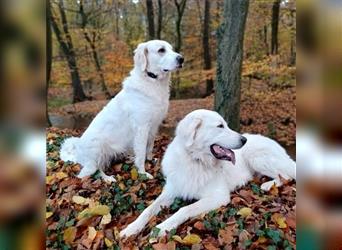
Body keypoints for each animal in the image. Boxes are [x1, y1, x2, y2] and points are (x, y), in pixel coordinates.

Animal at [60, 40, 184, 182]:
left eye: (171, 49)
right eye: (161, 50)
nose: (182, 59)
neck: (152, 81)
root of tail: (78, 153)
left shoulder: (154, 125)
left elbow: (149, 147)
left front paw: (150, 160)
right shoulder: (141, 127)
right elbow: (141, 153)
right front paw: (143, 173)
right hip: (97, 148)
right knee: (90, 172)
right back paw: (108, 178)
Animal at [119, 109, 294, 236]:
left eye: (226, 125)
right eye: (220, 126)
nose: (244, 140)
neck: (195, 161)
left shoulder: (218, 196)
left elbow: (184, 209)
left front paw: (162, 227)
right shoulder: (171, 191)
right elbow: (147, 210)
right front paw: (131, 228)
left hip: (257, 158)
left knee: (285, 175)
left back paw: (267, 185)